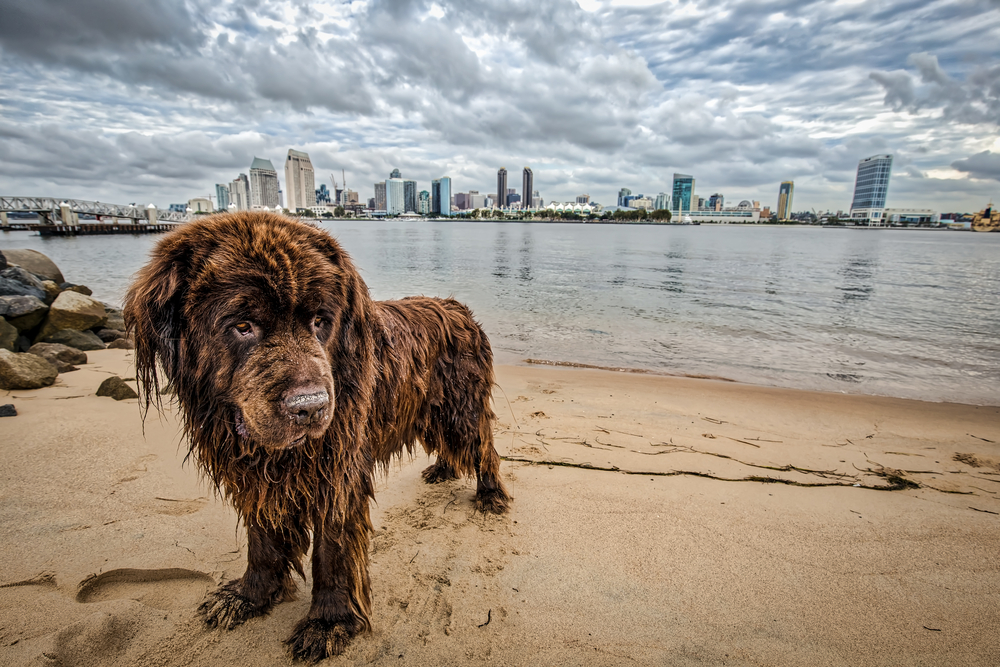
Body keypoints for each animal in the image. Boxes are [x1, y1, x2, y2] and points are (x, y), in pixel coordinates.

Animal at [125, 211, 512, 660]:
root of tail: (456, 306)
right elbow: (261, 540)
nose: (309, 407)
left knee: (484, 448)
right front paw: (249, 595)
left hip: (460, 409)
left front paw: (327, 622)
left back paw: (490, 495)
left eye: (319, 321)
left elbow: (332, 552)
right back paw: (443, 470)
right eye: (242, 325)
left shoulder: (337, 473)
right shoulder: (254, 478)